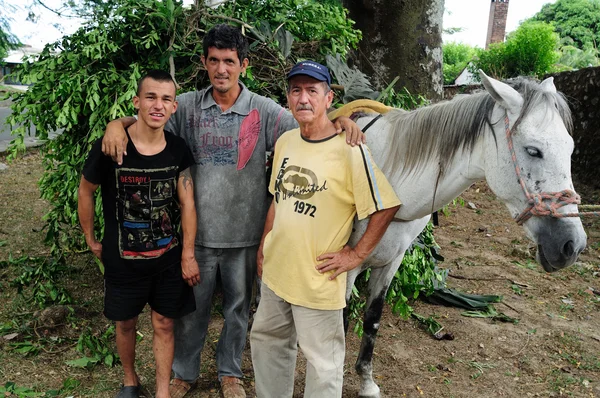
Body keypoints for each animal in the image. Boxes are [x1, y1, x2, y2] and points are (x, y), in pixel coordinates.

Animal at [344, 72, 588, 398]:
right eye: (533, 150)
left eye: (570, 149)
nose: (572, 245)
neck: (385, 178)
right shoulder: (347, 268)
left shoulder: (389, 263)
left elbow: (371, 320)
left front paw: (367, 381)